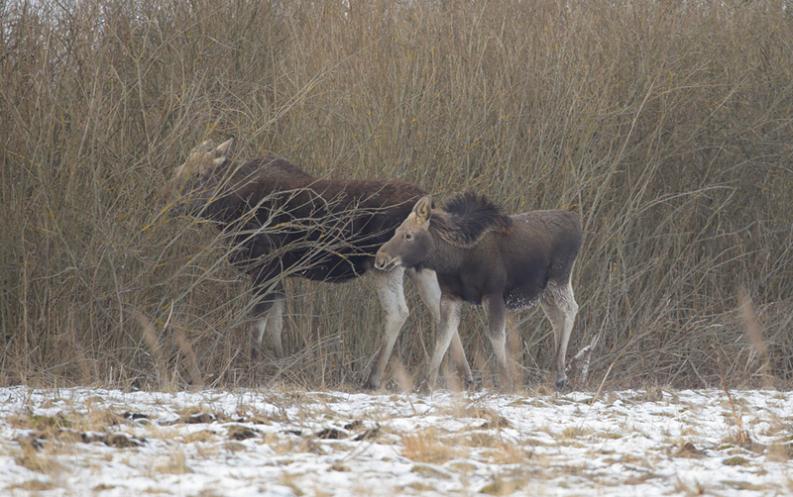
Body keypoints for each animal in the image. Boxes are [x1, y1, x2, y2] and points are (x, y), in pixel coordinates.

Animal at [162, 139, 470, 388]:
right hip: (421, 268)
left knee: (398, 312)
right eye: (178, 169)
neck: (229, 207)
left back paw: (372, 377)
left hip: (384, 263)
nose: (168, 200)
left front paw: (252, 369)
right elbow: (276, 324)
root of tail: (429, 208)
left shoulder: (264, 266)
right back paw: (463, 374)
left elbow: (257, 324)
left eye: (198, 175)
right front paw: (280, 365)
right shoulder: (278, 272)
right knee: (442, 309)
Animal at [372, 192, 580, 390]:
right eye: (396, 231)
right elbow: (443, 336)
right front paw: (428, 383)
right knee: (556, 318)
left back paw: (561, 375)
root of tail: (575, 221)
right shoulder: (450, 296)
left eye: (408, 235)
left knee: (571, 309)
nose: (380, 258)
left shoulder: (493, 294)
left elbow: (496, 336)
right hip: (546, 292)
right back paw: (556, 371)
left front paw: (506, 381)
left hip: (559, 278)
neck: (456, 260)